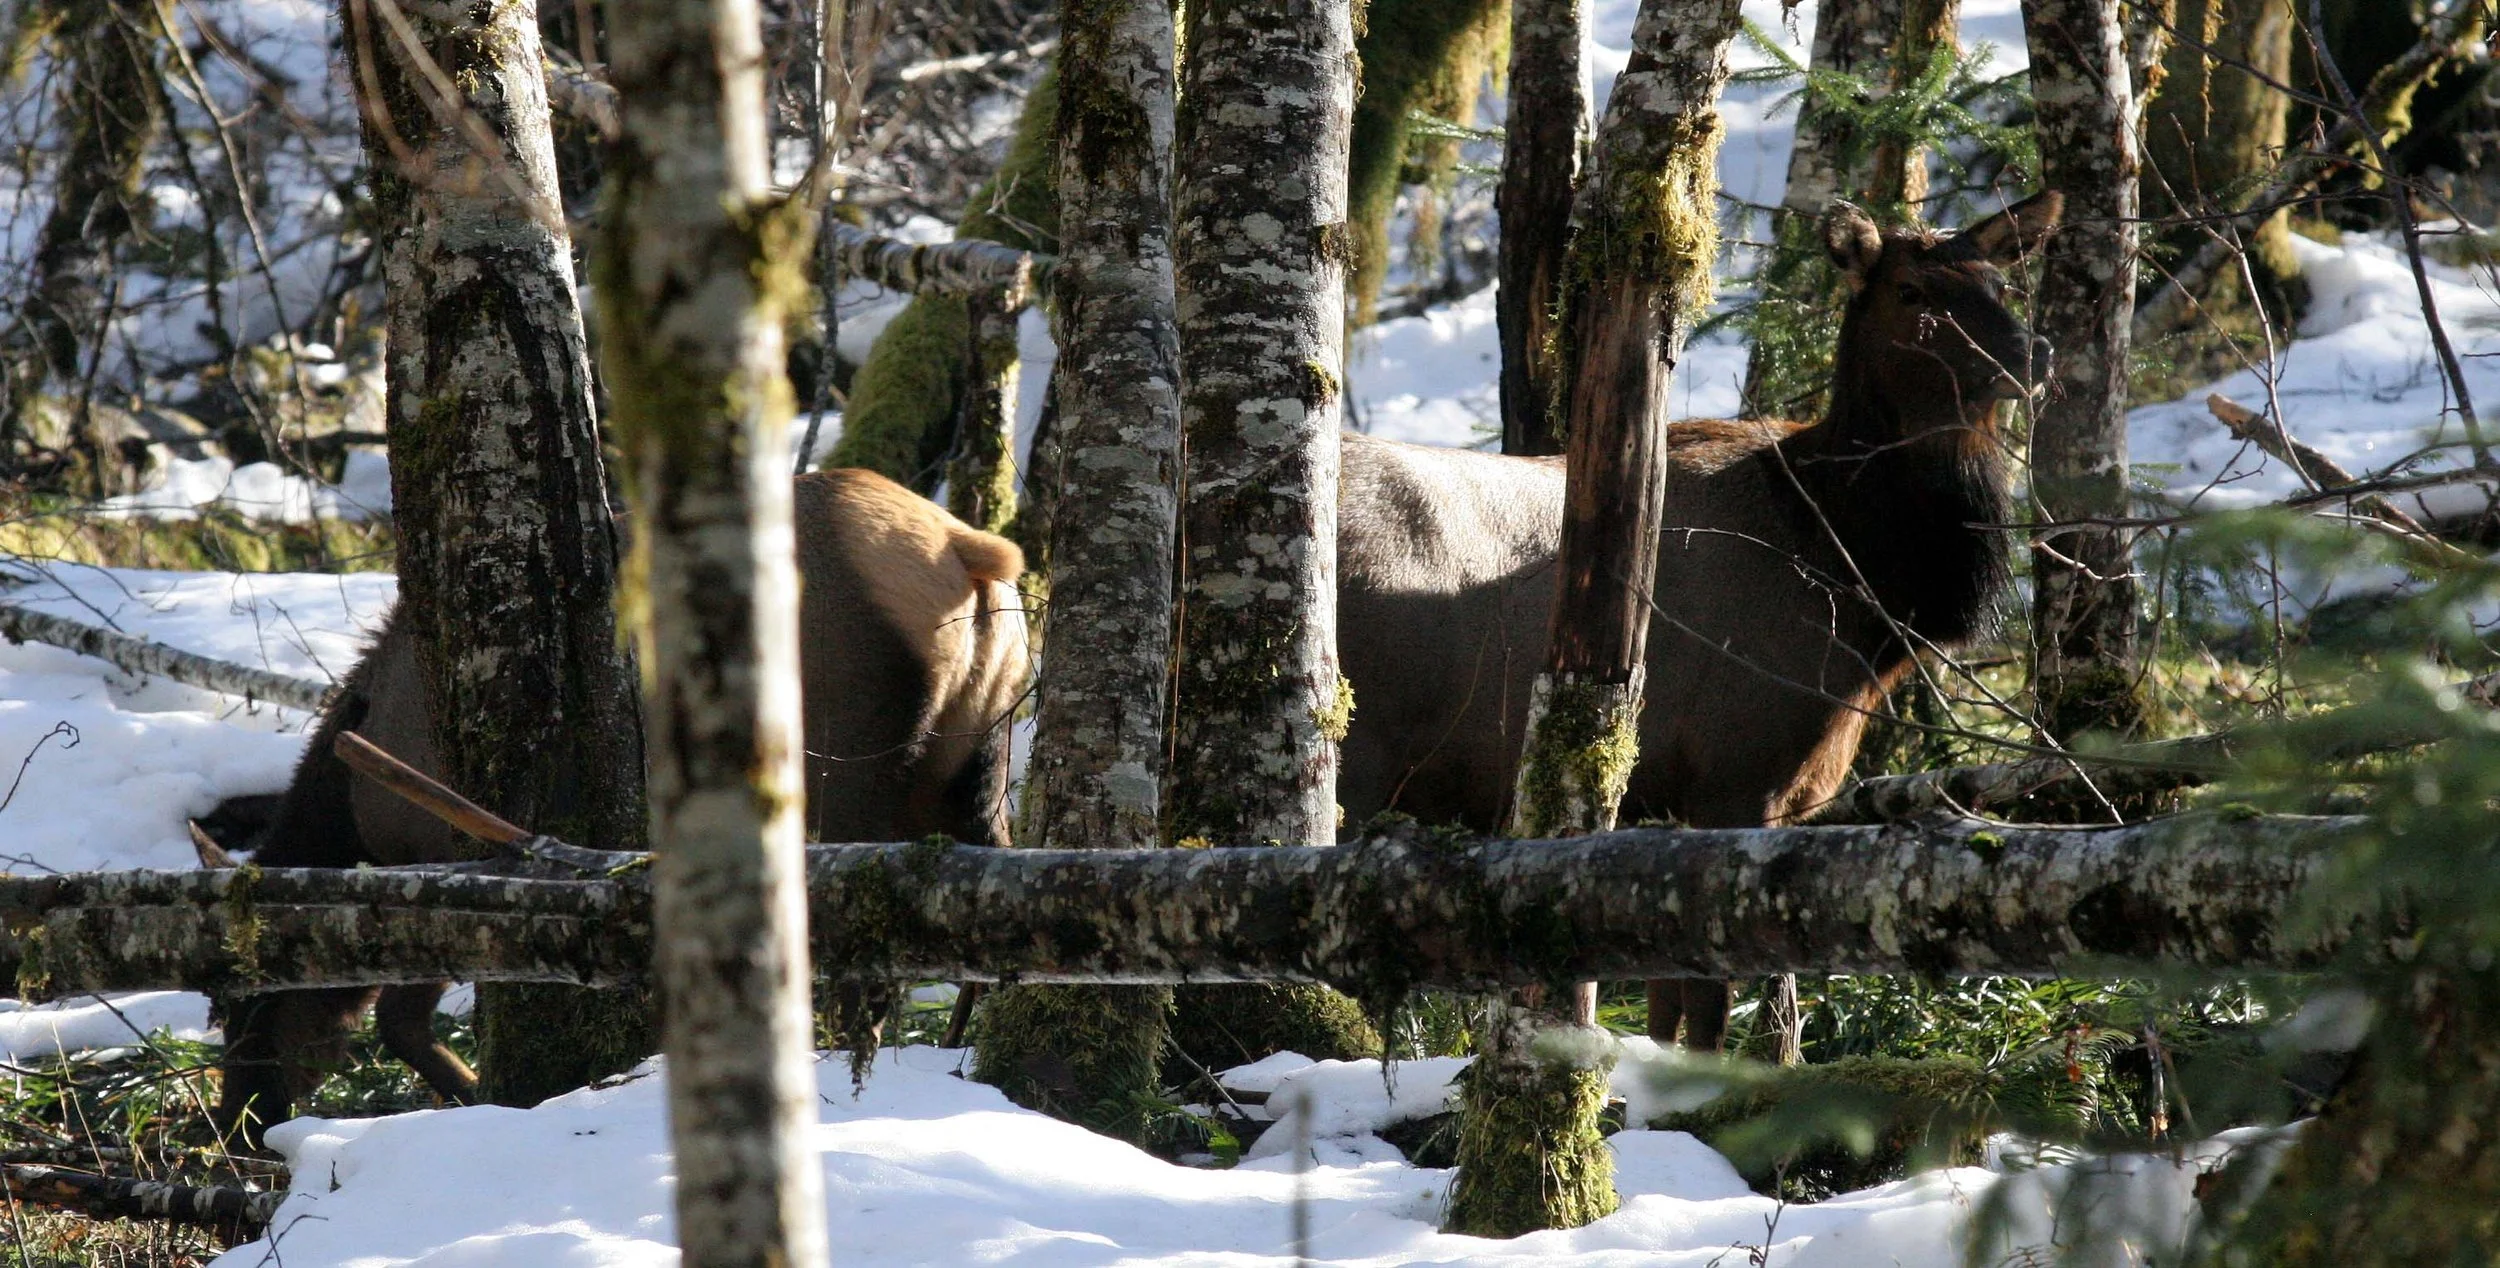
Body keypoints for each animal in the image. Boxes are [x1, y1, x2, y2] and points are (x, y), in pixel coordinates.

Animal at [214, 468, 1027, 1144]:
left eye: (241, 1004)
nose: (237, 1127)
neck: (350, 816)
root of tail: (971, 551)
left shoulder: (452, 852)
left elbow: (398, 1023)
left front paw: (488, 1096)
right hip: (975, 760)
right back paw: (960, 1052)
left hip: (852, 774)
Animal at [1333, 192, 2063, 1048]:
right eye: (1911, 292)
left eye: (1999, 284)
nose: (2031, 354)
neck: (1858, 580)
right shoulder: (1733, 770)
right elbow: (1727, 1005)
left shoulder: (1689, 800)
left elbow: (1685, 1003)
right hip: (1357, 756)